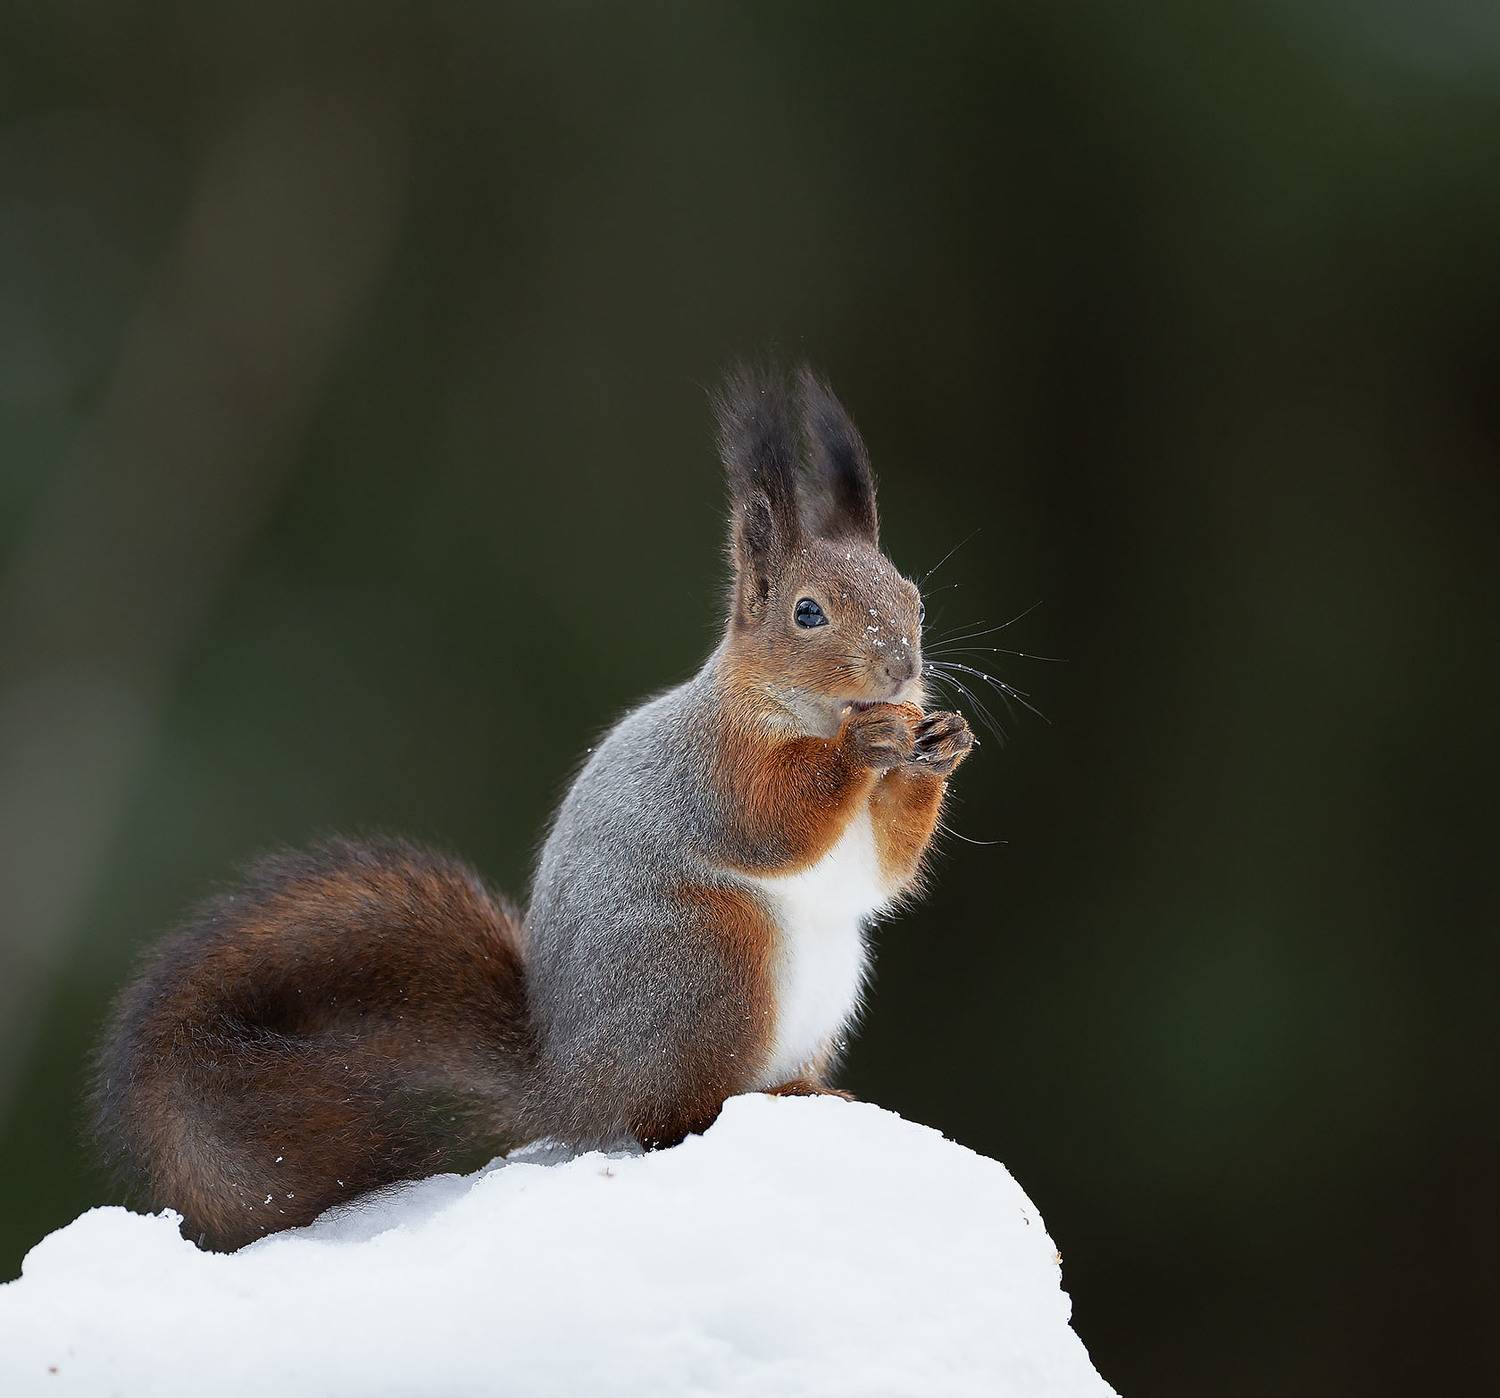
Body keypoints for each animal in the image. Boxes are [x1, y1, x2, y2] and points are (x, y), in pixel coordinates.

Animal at [91, 362, 975, 1251]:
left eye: (913, 598)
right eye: (807, 614)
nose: (902, 671)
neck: (801, 713)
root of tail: (571, 1088)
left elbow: (885, 870)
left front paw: (943, 743)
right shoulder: (715, 769)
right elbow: (774, 824)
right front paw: (861, 748)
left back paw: (812, 1091)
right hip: (711, 962)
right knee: (667, 1117)